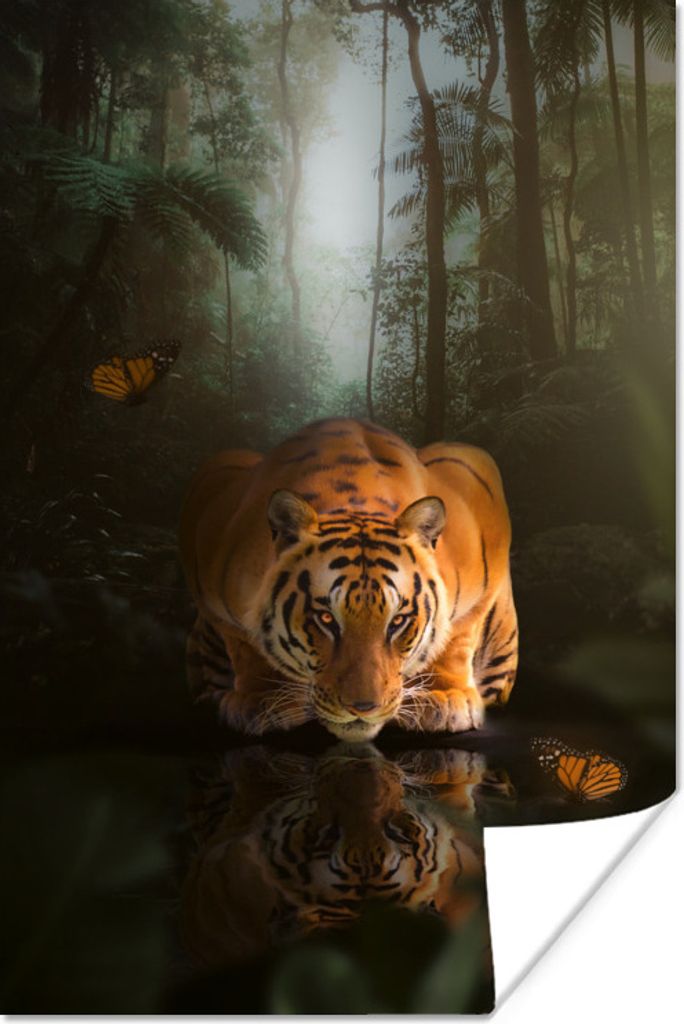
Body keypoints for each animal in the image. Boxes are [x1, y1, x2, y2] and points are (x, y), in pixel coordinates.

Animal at [179, 417, 518, 740]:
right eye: (326, 618)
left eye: (398, 621)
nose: (363, 708)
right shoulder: (211, 579)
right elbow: (246, 646)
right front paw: (262, 701)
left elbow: (456, 637)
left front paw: (443, 698)